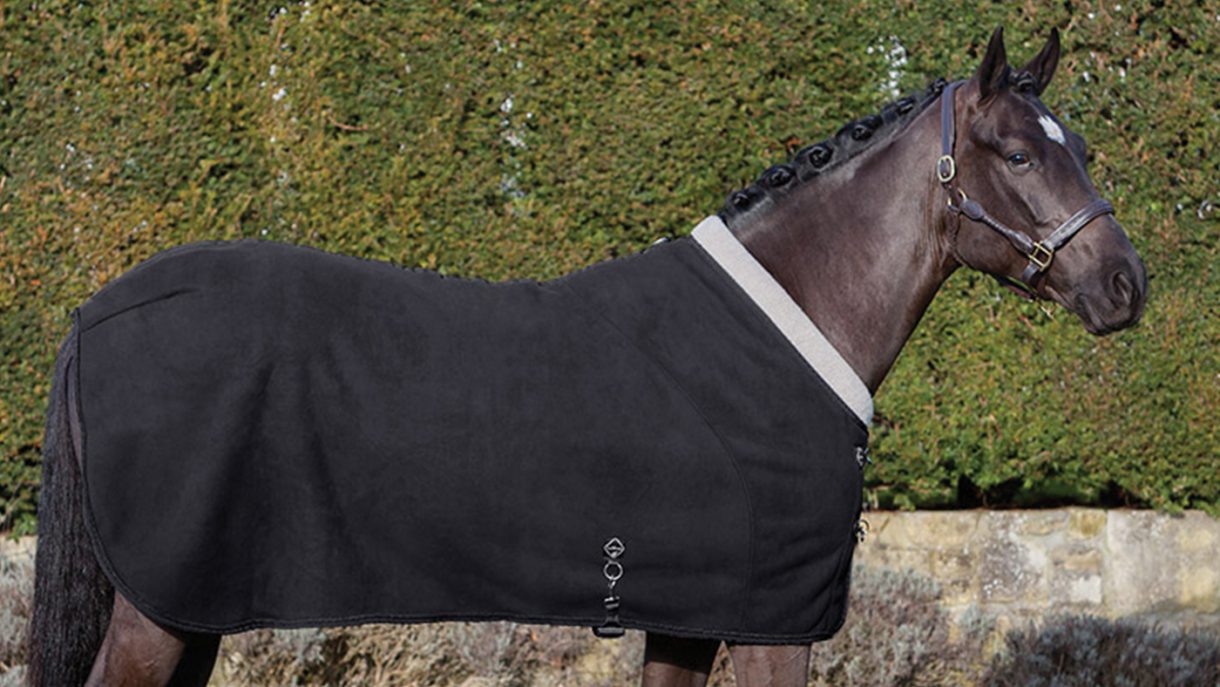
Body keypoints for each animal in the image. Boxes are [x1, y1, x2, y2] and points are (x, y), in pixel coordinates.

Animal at [28, 27, 1145, 687]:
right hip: (158, 609)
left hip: (192, 606)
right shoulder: (775, 623)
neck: (792, 319)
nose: (1125, 284)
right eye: (1016, 153)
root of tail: (97, 309)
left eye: (1081, 147)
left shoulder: (690, 614)